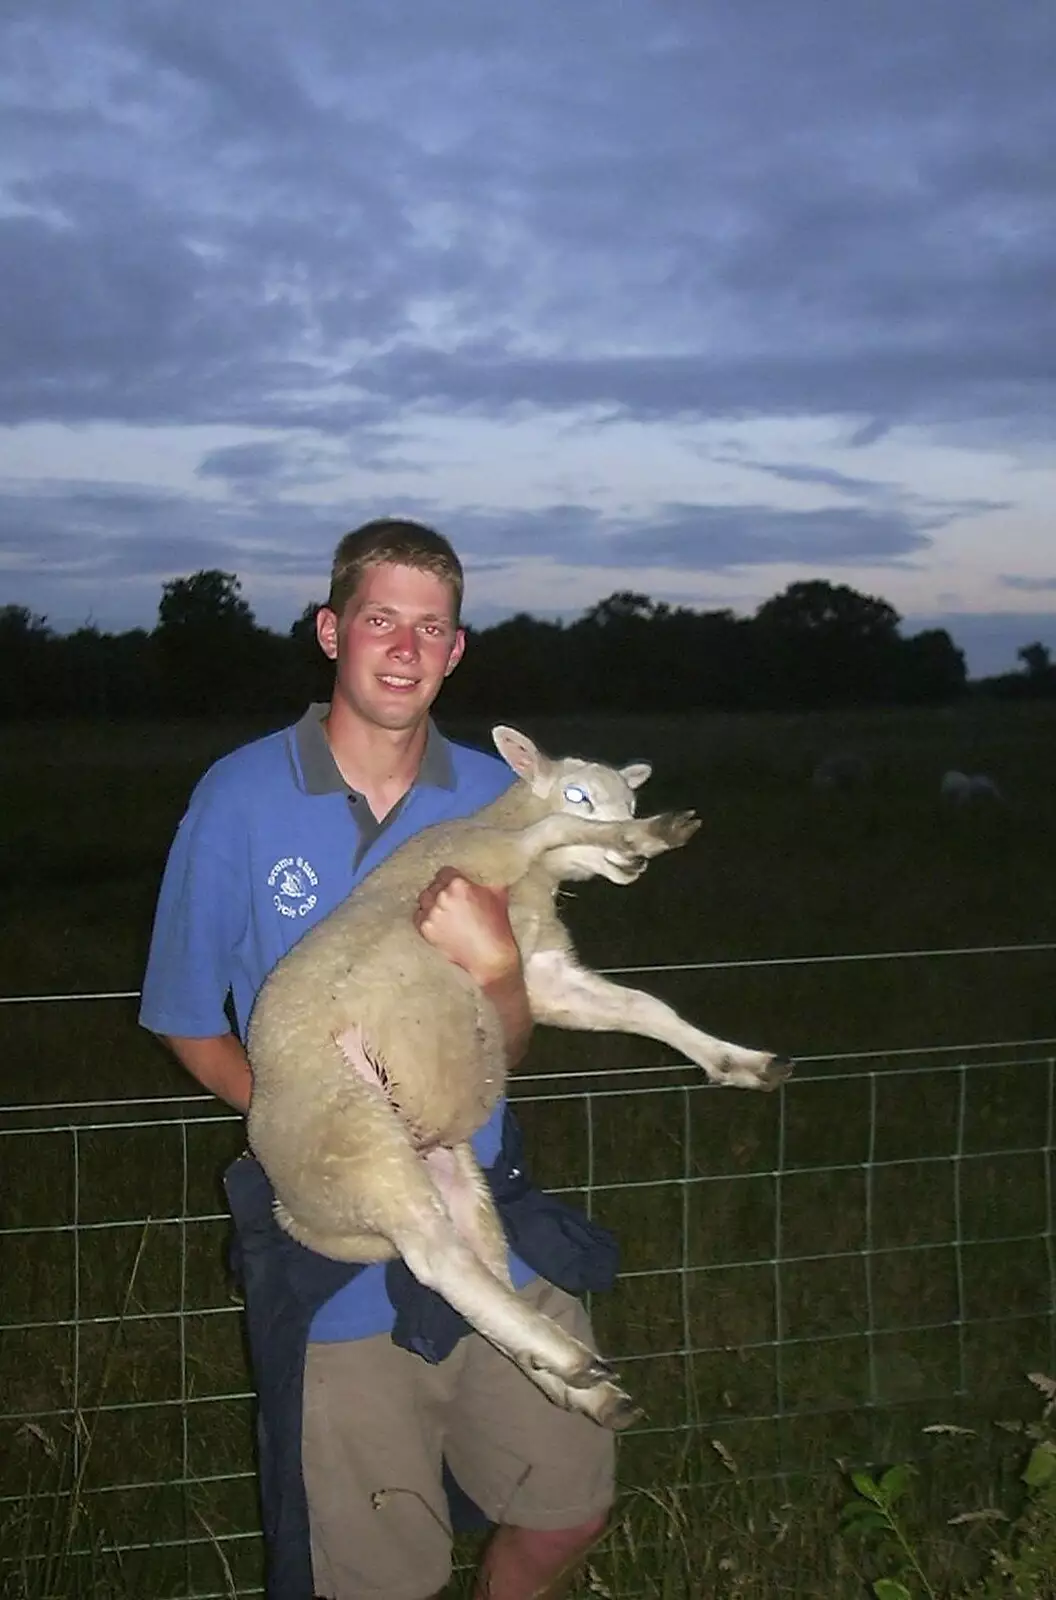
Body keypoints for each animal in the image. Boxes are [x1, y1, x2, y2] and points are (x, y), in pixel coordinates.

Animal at [248, 726, 793, 1427]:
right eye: (580, 793)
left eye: (627, 797)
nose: (633, 861)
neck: (531, 874)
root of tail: (292, 1209)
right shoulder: (490, 856)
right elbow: (552, 826)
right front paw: (652, 834)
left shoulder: (542, 979)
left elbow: (647, 1010)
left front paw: (737, 1063)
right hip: (358, 1140)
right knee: (438, 1262)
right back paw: (567, 1360)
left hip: (446, 1172)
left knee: (480, 1276)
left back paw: (580, 1388)